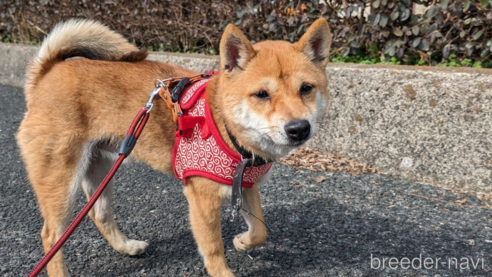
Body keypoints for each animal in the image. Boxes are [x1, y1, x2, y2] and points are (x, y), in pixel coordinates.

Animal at [16, 17, 330, 276]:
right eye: (262, 94)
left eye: (306, 88)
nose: (299, 128)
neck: (225, 126)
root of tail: (47, 71)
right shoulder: (202, 200)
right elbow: (214, 251)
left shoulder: (245, 185)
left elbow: (260, 230)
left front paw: (242, 241)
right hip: (60, 181)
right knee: (52, 236)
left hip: (101, 168)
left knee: (98, 214)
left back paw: (127, 247)